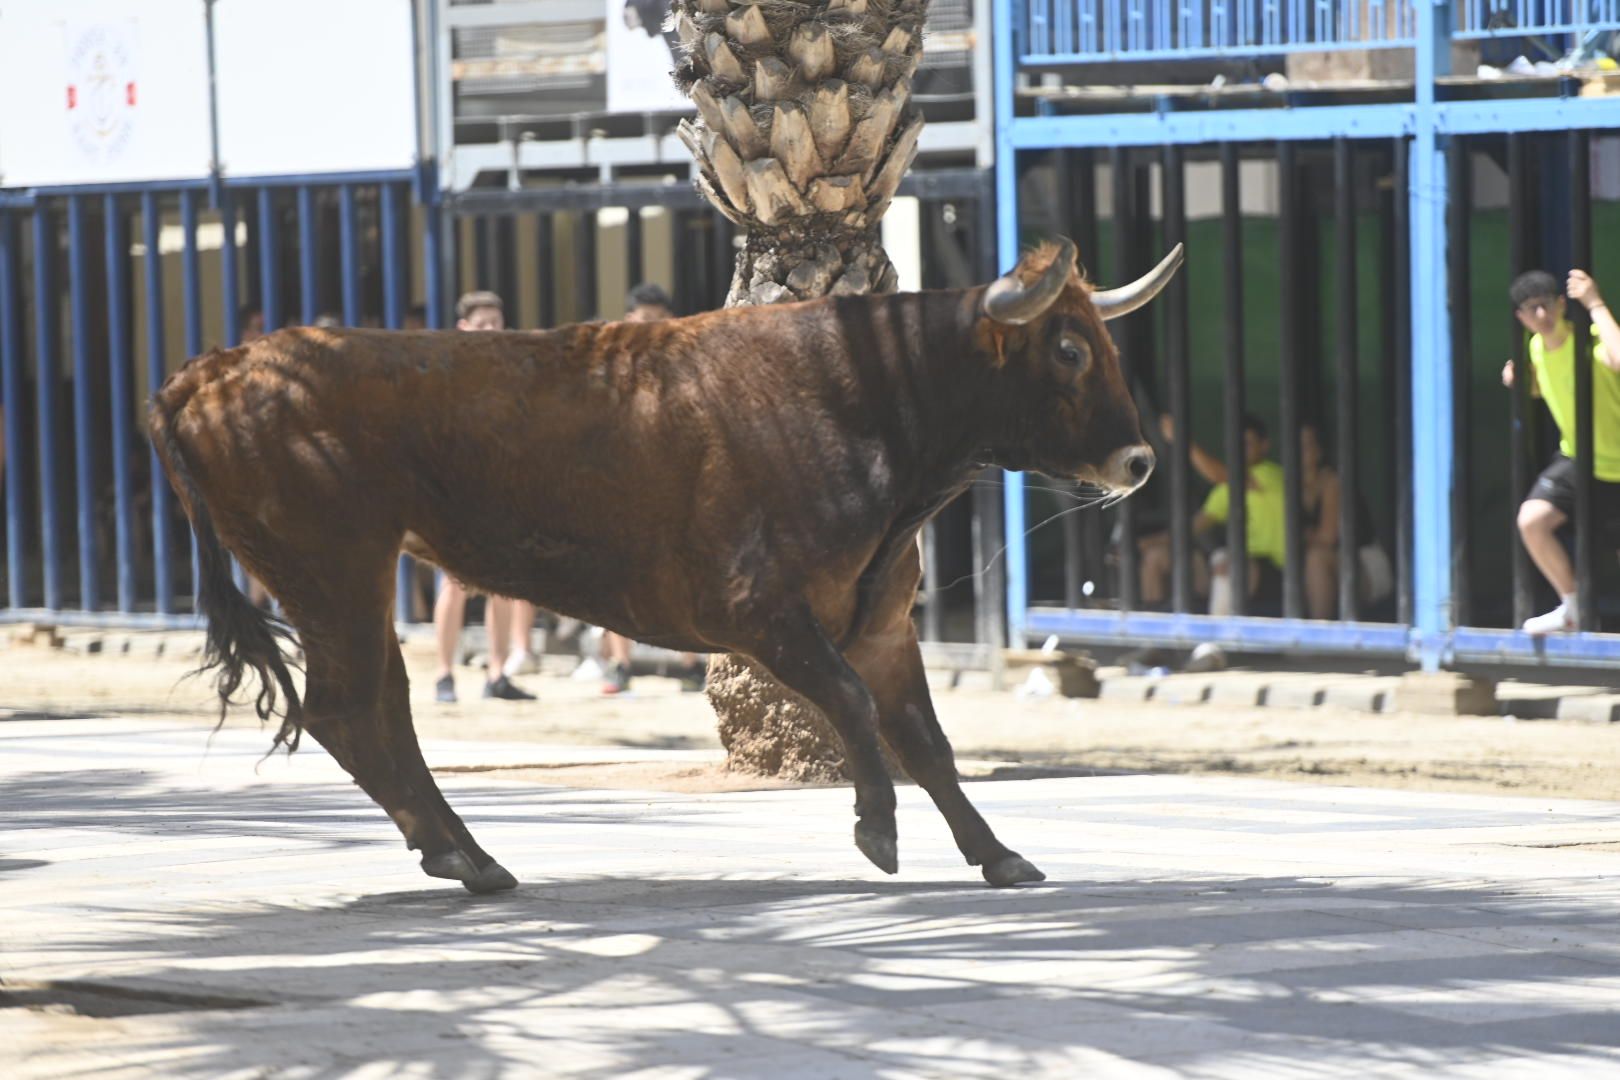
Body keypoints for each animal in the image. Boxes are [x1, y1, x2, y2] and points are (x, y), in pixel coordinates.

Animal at [152, 238, 1185, 893]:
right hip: (336, 575)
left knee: (380, 713)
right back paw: (463, 856)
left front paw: (997, 853)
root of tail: (217, 368)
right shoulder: (758, 613)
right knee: (348, 711)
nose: (1140, 462)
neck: (861, 397)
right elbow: (854, 708)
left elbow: (927, 742)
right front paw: (877, 828)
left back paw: (469, 857)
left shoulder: (883, 626)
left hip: (350, 589)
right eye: (1067, 347)